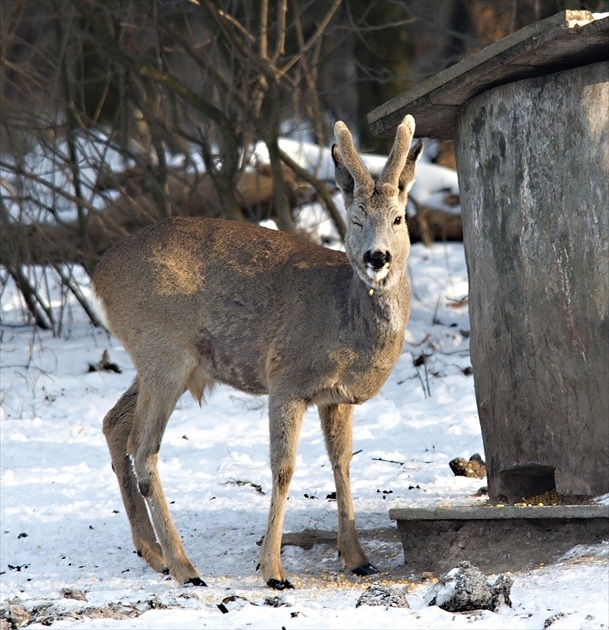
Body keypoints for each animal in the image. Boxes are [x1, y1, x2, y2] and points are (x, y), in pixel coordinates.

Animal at [94, 115, 422, 592]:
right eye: (357, 217)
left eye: (398, 218)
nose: (376, 257)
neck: (344, 315)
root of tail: (99, 276)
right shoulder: (286, 379)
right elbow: (283, 469)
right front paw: (273, 570)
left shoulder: (336, 398)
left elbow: (342, 463)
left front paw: (357, 558)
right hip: (163, 352)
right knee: (143, 447)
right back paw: (185, 567)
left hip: (163, 361)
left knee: (114, 423)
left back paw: (153, 553)